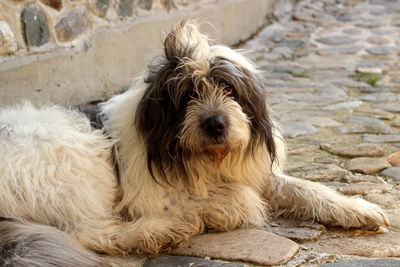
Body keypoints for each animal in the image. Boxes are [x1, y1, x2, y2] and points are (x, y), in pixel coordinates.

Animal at [0, 22, 390, 266]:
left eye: (229, 89)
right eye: (188, 94)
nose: (215, 124)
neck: (202, 157)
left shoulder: (254, 171)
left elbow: (303, 188)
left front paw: (357, 208)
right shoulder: (146, 195)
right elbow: (239, 199)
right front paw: (219, 209)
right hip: (78, 164)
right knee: (87, 232)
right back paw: (158, 231)